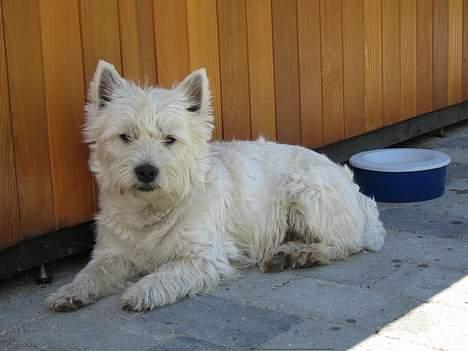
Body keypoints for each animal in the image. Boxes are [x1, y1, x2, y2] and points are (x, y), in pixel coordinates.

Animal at [45, 61, 386, 314]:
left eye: (169, 139)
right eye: (125, 136)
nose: (146, 170)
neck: (152, 209)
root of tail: (357, 193)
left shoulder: (203, 257)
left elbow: (169, 272)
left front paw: (143, 291)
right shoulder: (113, 252)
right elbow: (93, 272)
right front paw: (70, 292)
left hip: (308, 194)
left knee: (345, 242)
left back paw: (307, 254)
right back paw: (284, 254)